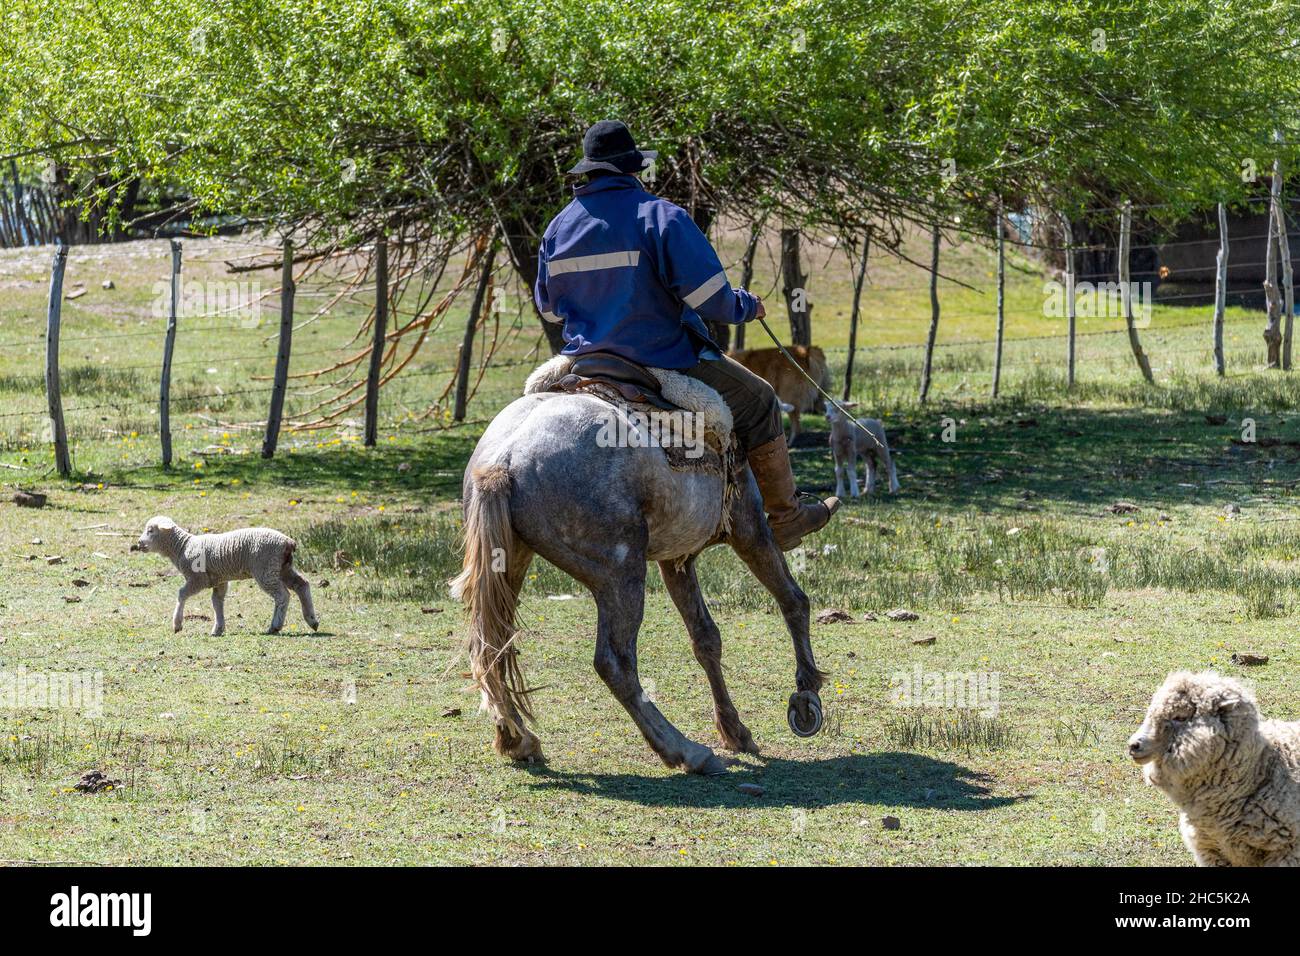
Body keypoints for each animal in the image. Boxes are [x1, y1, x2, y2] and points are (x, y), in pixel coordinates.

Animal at [134, 516, 319, 636]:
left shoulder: (198, 579)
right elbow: (217, 602)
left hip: (266, 568)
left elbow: (182, 594)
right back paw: (312, 620)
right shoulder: (219, 580)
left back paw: (275, 626)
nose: (139, 543)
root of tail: (289, 542)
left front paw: (177, 624)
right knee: (302, 585)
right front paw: (218, 628)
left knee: (283, 595)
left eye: (150, 530)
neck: (182, 547)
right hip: (281, 567)